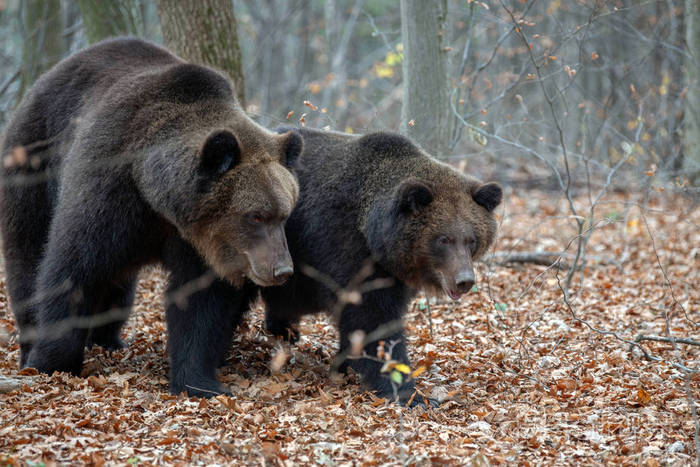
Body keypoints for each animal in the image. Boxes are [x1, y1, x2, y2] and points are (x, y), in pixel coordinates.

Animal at [0, 38, 302, 398]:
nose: (282, 270)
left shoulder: (194, 240)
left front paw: (199, 381)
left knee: (118, 289)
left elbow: (199, 303)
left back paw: (109, 339)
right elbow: (74, 267)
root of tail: (43, 80)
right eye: (256, 216)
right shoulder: (111, 189)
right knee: (27, 253)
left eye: (284, 213)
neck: (156, 195)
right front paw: (51, 363)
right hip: (33, 159)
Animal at [261, 127, 502, 406]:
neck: (375, 235)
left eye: (472, 239)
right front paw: (407, 391)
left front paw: (345, 363)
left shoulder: (393, 274)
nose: (464, 280)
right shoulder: (343, 245)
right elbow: (373, 319)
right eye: (444, 239)